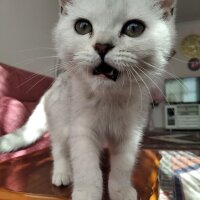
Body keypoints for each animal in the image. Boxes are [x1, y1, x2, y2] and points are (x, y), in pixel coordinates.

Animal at [0, 0, 176, 199]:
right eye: (82, 26)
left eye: (134, 28)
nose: (102, 46)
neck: (109, 101)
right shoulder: (81, 129)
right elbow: (87, 169)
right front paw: (87, 192)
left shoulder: (130, 134)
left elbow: (123, 167)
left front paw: (121, 190)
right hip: (60, 123)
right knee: (59, 150)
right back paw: (62, 173)